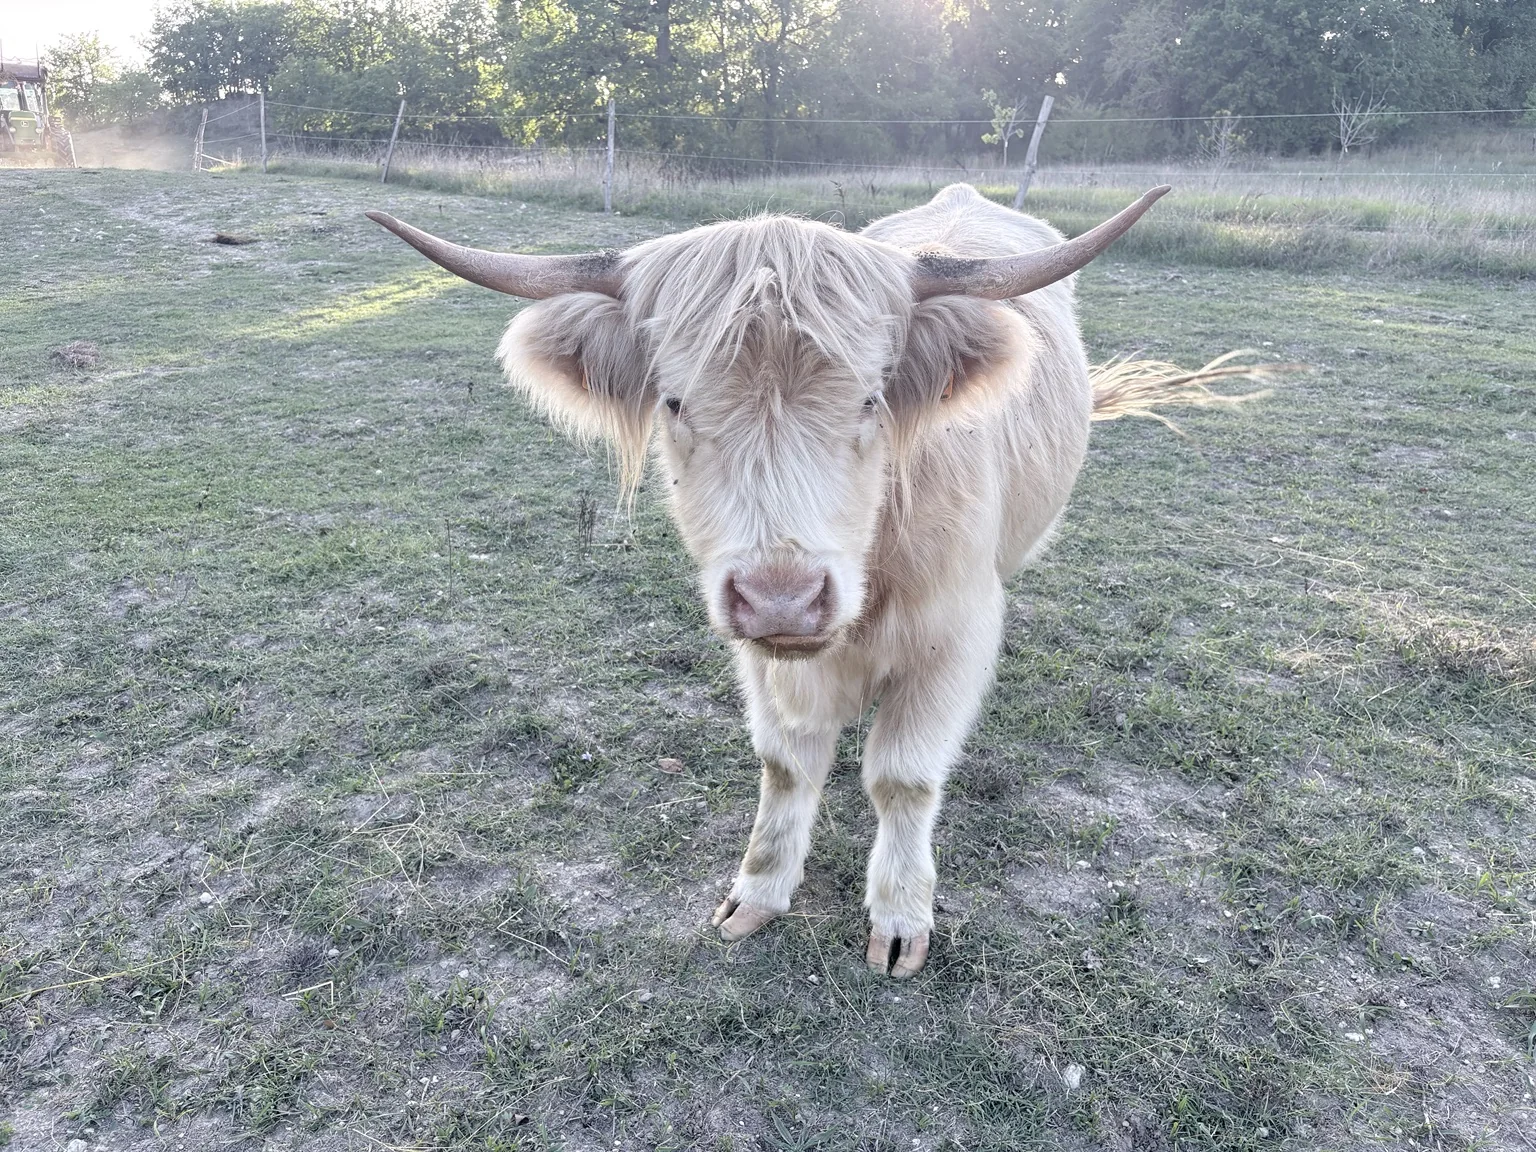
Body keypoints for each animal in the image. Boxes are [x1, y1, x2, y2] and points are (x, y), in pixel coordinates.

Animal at [367, 183, 1201, 977]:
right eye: (674, 401)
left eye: (870, 398)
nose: (783, 600)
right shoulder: (759, 657)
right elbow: (785, 765)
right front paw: (759, 890)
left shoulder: (953, 636)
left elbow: (904, 778)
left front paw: (900, 918)